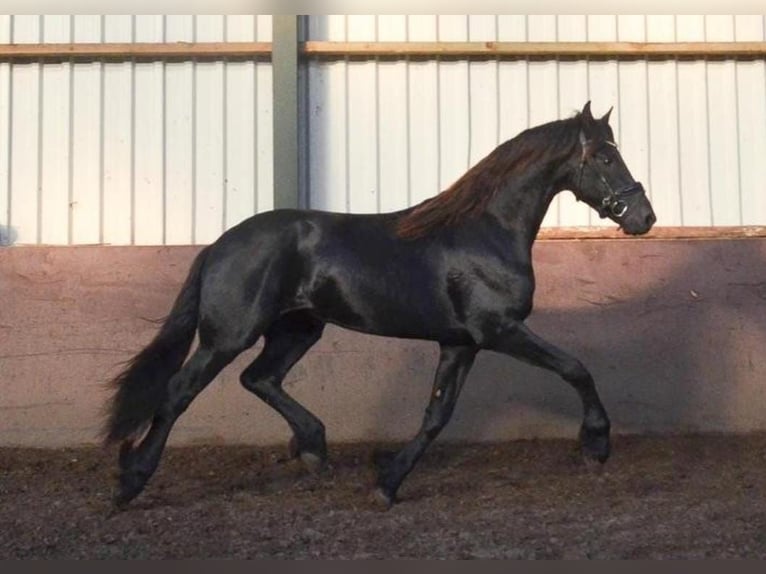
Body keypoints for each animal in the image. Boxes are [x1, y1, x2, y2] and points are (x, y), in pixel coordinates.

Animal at [105, 102, 660, 508]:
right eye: (605, 158)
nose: (644, 217)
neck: (485, 232)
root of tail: (219, 244)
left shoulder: (460, 344)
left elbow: (437, 415)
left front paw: (388, 481)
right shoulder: (498, 331)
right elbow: (575, 368)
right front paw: (596, 446)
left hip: (298, 329)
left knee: (259, 378)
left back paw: (313, 448)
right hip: (229, 335)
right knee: (179, 391)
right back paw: (131, 481)